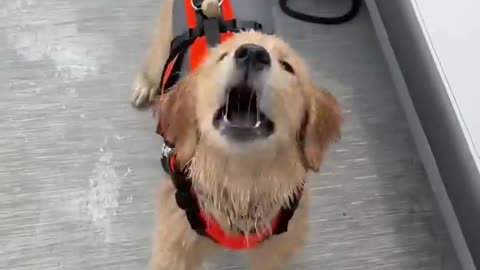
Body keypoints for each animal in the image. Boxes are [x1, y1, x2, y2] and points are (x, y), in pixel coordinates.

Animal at [130, 0, 342, 268]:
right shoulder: (175, 244)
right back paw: (144, 86)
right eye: (221, 57)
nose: (252, 53)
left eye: (288, 66)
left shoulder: (277, 248)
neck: (241, 181)